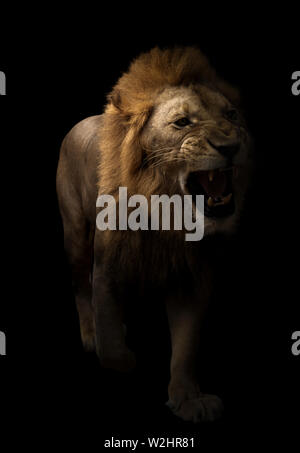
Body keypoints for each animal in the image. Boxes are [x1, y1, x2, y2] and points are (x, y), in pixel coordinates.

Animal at [56, 47, 251, 422]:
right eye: (182, 122)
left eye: (232, 115)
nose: (232, 145)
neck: (167, 213)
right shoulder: (107, 270)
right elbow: (112, 343)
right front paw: (120, 354)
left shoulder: (191, 279)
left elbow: (186, 347)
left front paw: (189, 399)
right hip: (75, 234)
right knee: (80, 287)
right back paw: (89, 334)